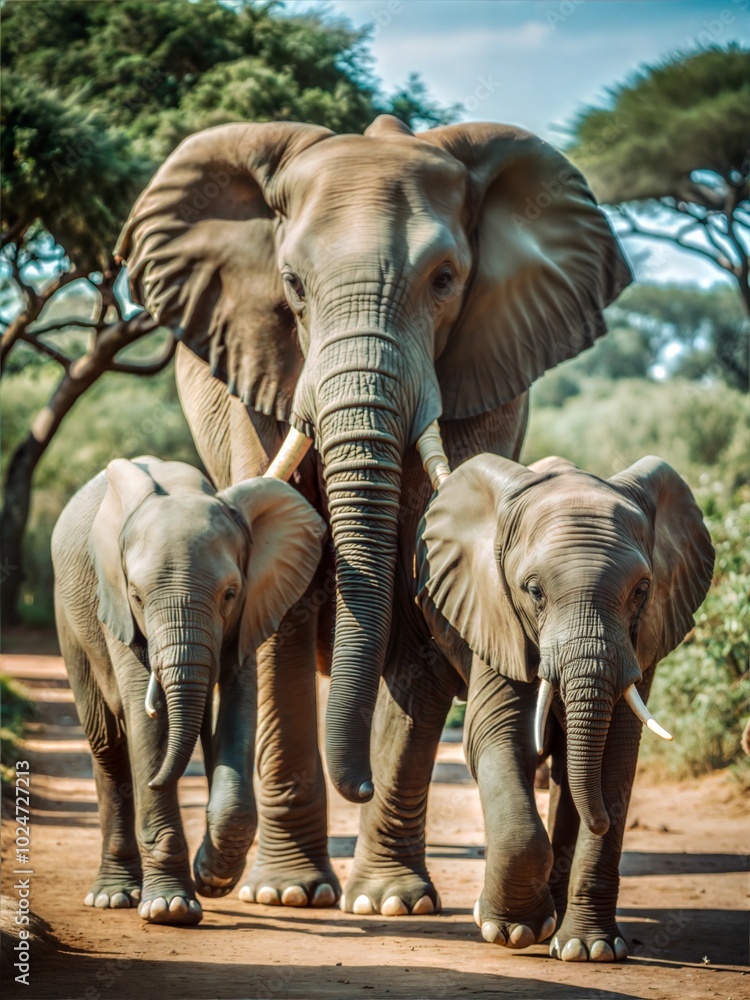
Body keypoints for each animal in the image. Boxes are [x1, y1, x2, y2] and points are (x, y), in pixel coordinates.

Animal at [51, 456, 325, 925]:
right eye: (138, 597)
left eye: (230, 594)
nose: (157, 779)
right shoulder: (117, 609)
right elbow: (145, 721)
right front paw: (170, 908)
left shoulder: (252, 609)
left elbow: (236, 705)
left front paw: (213, 878)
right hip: (68, 616)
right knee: (107, 741)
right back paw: (114, 896)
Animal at [115, 114, 632, 908]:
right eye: (291, 285)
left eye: (445, 280)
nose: (352, 782)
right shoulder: (260, 371)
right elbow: (290, 605)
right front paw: (288, 894)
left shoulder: (486, 375)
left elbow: (423, 604)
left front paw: (387, 900)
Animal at [412, 453, 714, 960]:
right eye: (533, 591)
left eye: (641, 590)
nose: (602, 820)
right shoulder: (495, 615)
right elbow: (496, 737)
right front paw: (511, 931)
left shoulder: (642, 640)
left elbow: (616, 755)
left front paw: (590, 950)